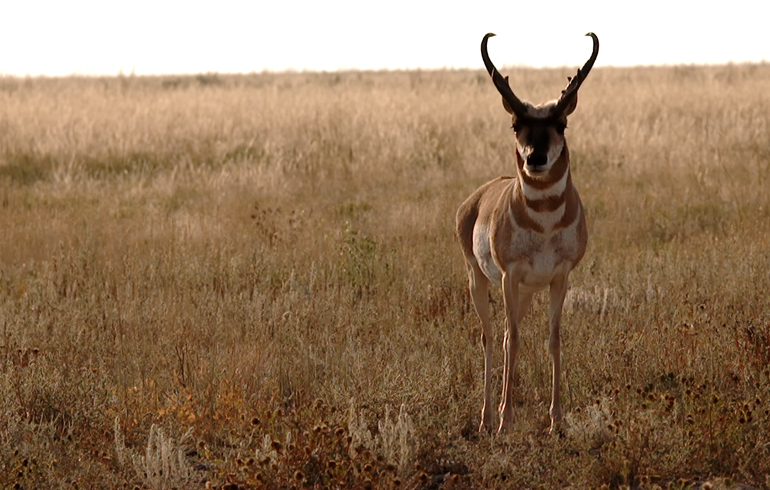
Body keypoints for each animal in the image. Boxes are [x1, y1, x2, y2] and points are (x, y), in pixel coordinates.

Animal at [452, 32, 596, 432]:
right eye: (516, 124)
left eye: (561, 124)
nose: (535, 158)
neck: (544, 224)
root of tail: (475, 199)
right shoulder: (509, 276)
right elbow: (512, 341)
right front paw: (505, 420)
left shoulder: (559, 277)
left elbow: (554, 339)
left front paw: (557, 420)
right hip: (479, 281)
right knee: (490, 337)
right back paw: (487, 417)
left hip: (527, 291)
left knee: (502, 336)